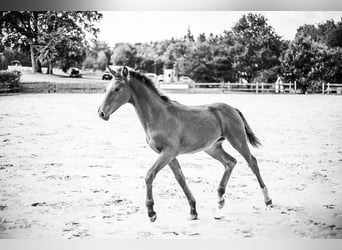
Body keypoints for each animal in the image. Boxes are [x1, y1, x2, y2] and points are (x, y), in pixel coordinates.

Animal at [97, 65, 272, 222]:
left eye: (117, 89)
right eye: (107, 88)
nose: (101, 113)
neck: (158, 115)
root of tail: (233, 108)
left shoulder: (168, 152)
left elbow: (149, 175)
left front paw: (151, 212)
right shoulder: (169, 155)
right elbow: (180, 178)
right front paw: (193, 210)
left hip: (238, 140)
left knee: (252, 162)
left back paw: (268, 200)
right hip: (212, 147)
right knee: (231, 162)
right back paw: (220, 198)